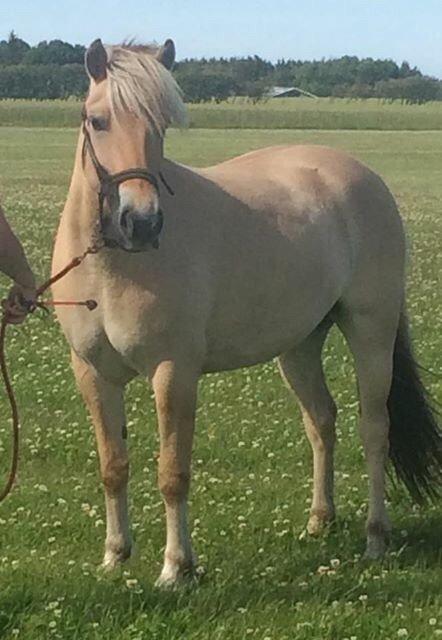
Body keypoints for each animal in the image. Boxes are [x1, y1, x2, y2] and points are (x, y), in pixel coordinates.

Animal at [51, 36, 438, 584]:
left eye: (161, 126)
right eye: (97, 120)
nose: (141, 222)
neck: (111, 268)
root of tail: (361, 175)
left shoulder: (173, 372)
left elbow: (172, 472)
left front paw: (176, 568)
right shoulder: (91, 372)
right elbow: (113, 465)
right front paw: (115, 555)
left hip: (371, 331)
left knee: (374, 428)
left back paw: (375, 537)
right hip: (300, 346)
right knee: (322, 420)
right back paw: (319, 521)